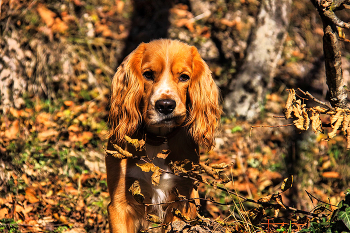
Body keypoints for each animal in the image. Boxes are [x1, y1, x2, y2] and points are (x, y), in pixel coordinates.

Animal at [106, 39, 220, 232]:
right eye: (148, 74)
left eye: (184, 77)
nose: (165, 105)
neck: (157, 140)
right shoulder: (119, 203)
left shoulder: (183, 198)